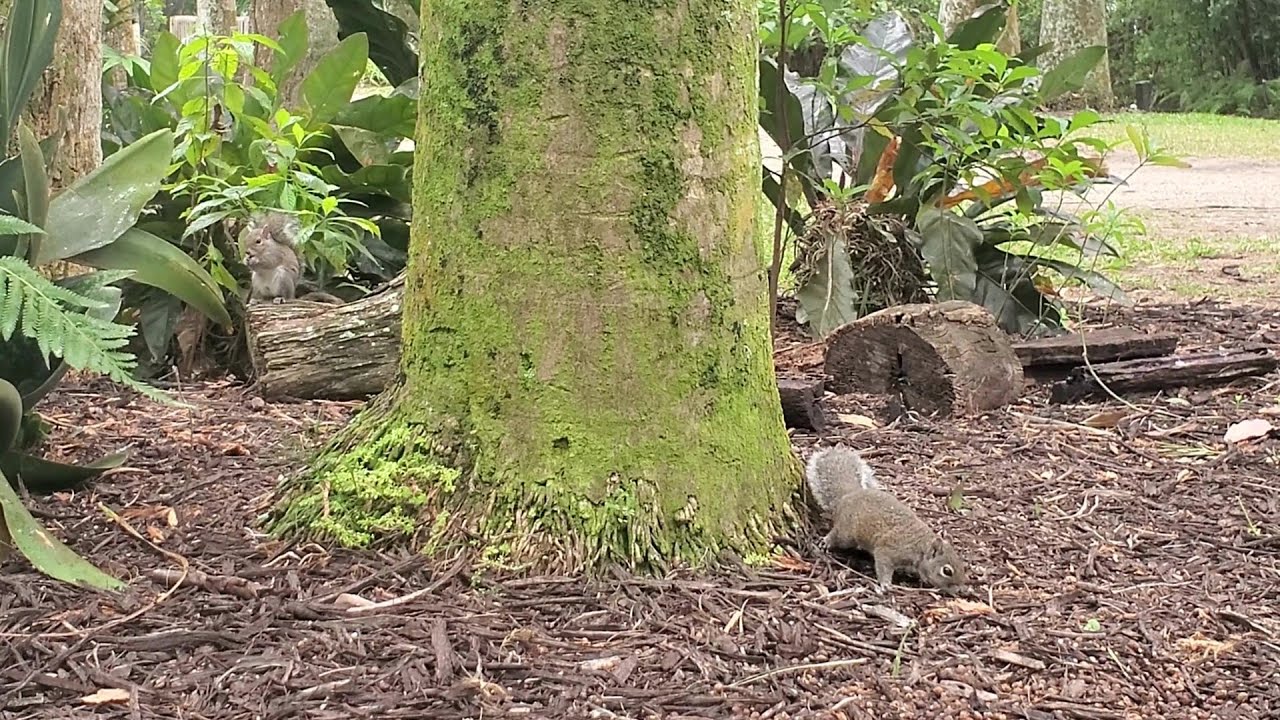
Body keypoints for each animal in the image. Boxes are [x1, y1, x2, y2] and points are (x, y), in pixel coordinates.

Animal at [805, 446, 967, 591]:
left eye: (962, 565)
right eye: (947, 571)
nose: (962, 589)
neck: (921, 546)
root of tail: (848, 495)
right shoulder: (889, 549)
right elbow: (883, 563)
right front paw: (886, 584)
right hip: (847, 533)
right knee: (837, 535)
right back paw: (826, 541)